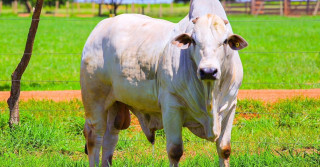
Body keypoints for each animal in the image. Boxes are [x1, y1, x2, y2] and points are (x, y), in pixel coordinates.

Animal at [80, 5, 248, 167]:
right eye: (193, 40)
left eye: (225, 41)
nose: (208, 71)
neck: (210, 95)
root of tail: (100, 27)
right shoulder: (171, 107)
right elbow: (175, 151)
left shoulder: (230, 107)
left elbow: (224, 150)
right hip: (94, 100)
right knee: (95, 136)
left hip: (116, 104)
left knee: (110, 138)